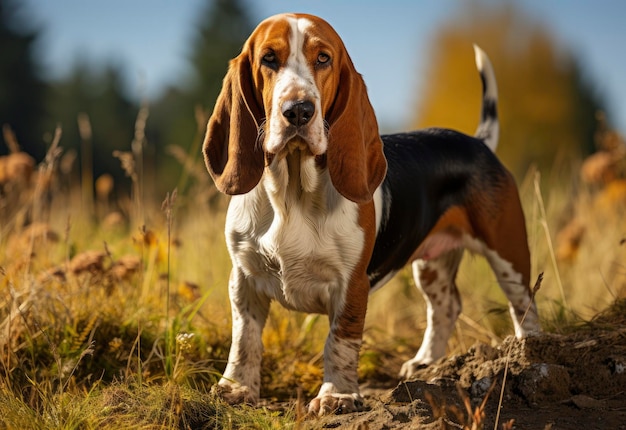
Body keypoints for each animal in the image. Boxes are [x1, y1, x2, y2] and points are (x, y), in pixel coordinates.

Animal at [202, 12, 540, 416]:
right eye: (269, 58)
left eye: (323, 59)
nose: (298, 111)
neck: (292, 193)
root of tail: (477, 142)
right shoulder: (244, 278)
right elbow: (245, 339)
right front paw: (236, 388)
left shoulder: (351, 284)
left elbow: (340, 341)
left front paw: (337, 396)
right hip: (431, 266)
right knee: (446, 306)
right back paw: (426, 362)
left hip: (507, 250)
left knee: (523, 303)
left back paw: (530, 357)